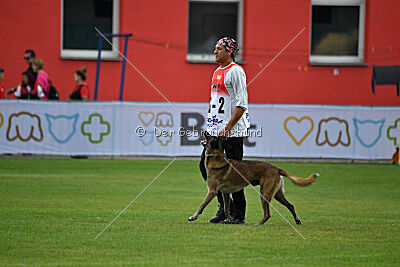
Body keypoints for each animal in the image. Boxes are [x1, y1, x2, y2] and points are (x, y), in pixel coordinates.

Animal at [188, 135, 318, 225]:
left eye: (212, 136)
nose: (205, 131)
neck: (217, 157)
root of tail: (276, 168)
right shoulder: (225, 193)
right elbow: (226, 208)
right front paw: (230, 219)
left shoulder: (212, 191)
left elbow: (202, 205)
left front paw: (193, 217)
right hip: (277, 194)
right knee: (291, 206)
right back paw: (297, 220)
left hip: (264, 193)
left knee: (268, 214)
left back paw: (258, 224)